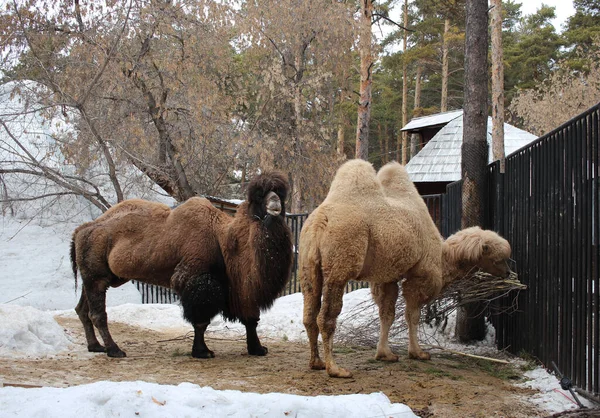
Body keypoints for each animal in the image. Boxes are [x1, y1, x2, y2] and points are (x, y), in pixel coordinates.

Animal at [298, 158, 510, 378]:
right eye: (498, 258)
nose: (508, 273)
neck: (442, 257)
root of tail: (319, 223)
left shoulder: (386, 278)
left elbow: (387, 314)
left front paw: (385, 354)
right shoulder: (421, 275)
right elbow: (412, 315)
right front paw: (418, 352)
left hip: (308, 266)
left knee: (309, 314)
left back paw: (316, 362)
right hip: (340, 262)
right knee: (326, 316)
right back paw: (335, 369)